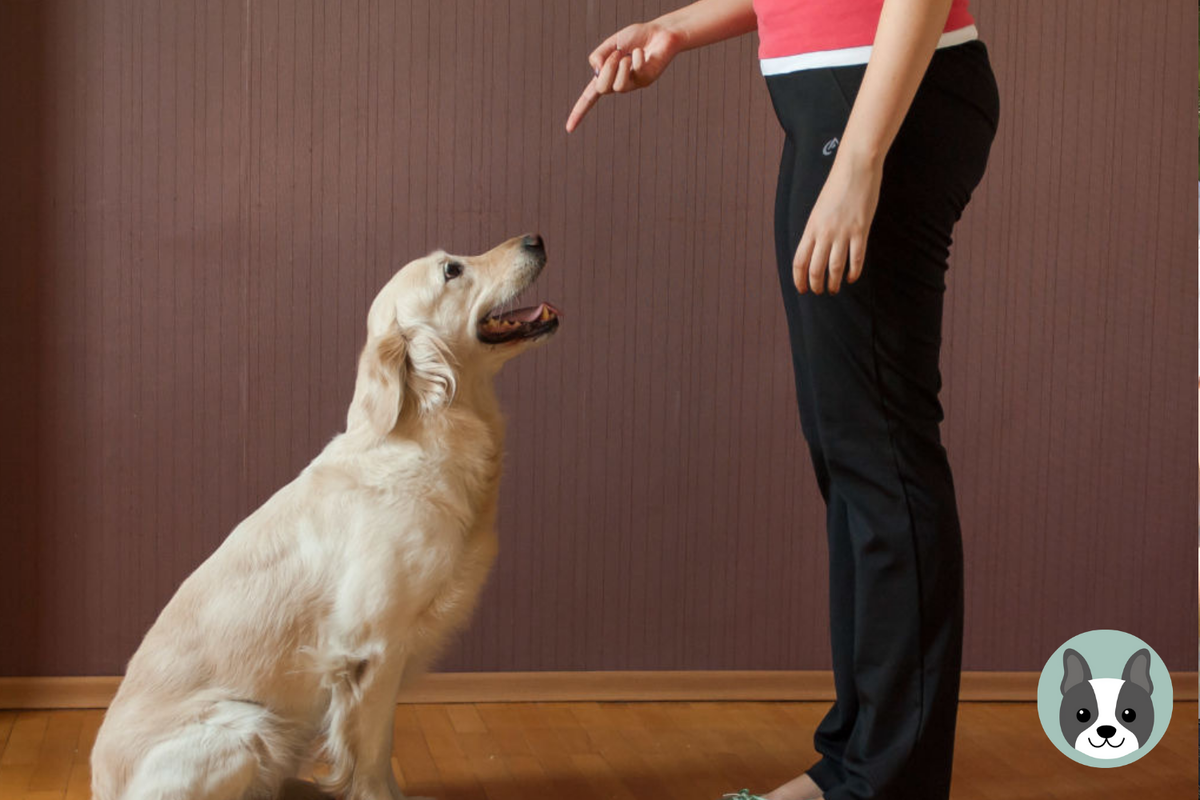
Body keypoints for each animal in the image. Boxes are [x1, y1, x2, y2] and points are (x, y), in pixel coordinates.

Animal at [93, 235, 561, 796]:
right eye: (452, 270)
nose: (535, 239)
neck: (428, 432)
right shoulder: (372, 649)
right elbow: (373, 754)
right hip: (245, 727)